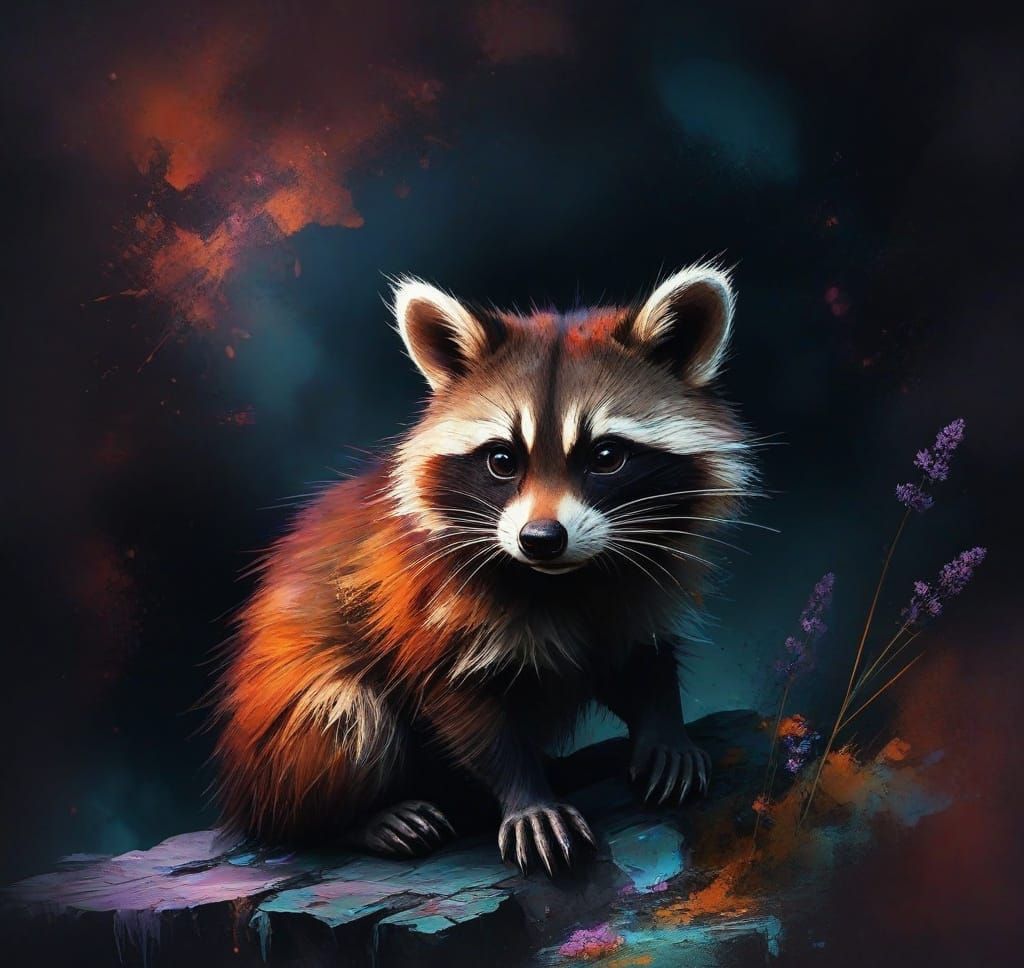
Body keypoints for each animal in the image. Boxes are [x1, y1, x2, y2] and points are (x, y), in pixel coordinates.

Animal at [210, 263, 754, 875]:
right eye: (501, 460)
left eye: (607, 456)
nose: (541, 539)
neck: (565, 579)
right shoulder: (427, 605)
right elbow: (463, 707)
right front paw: (527, 797)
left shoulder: (640, 581)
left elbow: (639, 654)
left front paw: (665, 730)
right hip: (281, 738)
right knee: (344, 716)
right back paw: (353, 820)